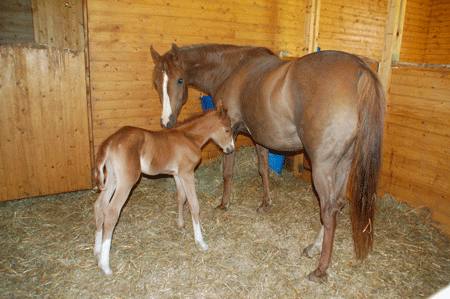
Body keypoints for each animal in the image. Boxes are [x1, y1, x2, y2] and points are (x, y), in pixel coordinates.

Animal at [91, 101, 232, 276]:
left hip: (112, 177)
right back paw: (105, 265)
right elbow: (194, 205)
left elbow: (181, 198)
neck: (189, 137)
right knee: (111, 212)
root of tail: (112, 139)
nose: (231, 149)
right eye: (227, 129)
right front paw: (201, 242)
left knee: (99, 205)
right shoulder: (187, 173)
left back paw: (97, 251)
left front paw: (181, 226)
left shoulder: (177, 174)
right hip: (127, 181)